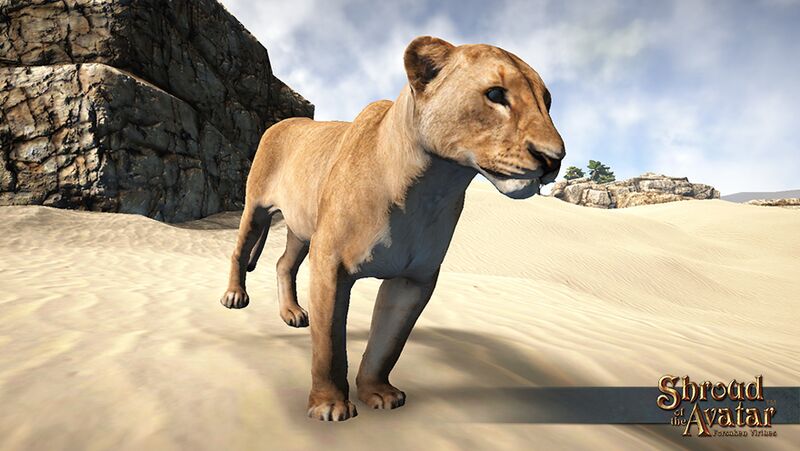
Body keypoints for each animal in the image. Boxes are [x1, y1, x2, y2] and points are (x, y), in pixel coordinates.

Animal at [219, 36, 564, 421]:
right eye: (495, 94)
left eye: (547, 102)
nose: (554, 159)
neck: (432, 186)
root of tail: (283, 122)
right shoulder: (330, 263)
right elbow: (329, 343)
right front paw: (329, 404)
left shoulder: (414, 279)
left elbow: (387, 343)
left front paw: (378, 392)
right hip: (256, 208)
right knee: (239, 252)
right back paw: (234, 296)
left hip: (301, 227)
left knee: (283, 264)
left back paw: (291, 313)